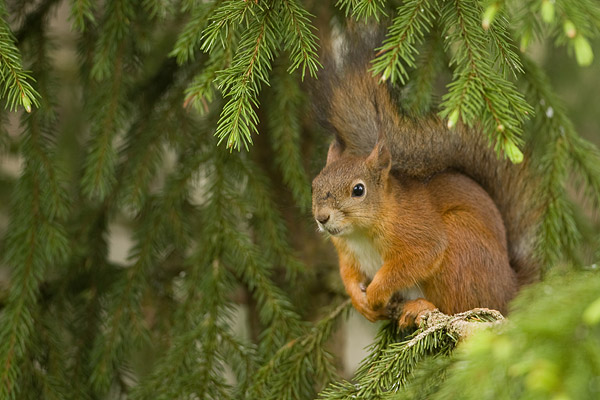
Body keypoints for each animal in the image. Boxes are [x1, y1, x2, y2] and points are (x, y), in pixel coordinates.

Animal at [312, 138, 516, 328]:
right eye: (314, 185)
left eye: (358, 189)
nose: (321, 217)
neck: (359, 233)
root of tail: (509, 290)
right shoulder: (347, 252)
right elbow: (348, 274)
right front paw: (360, 302)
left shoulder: (419, 232)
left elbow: (409, 264)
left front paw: (375, 295)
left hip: (459, 247)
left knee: (454, 309)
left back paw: (420, 307)